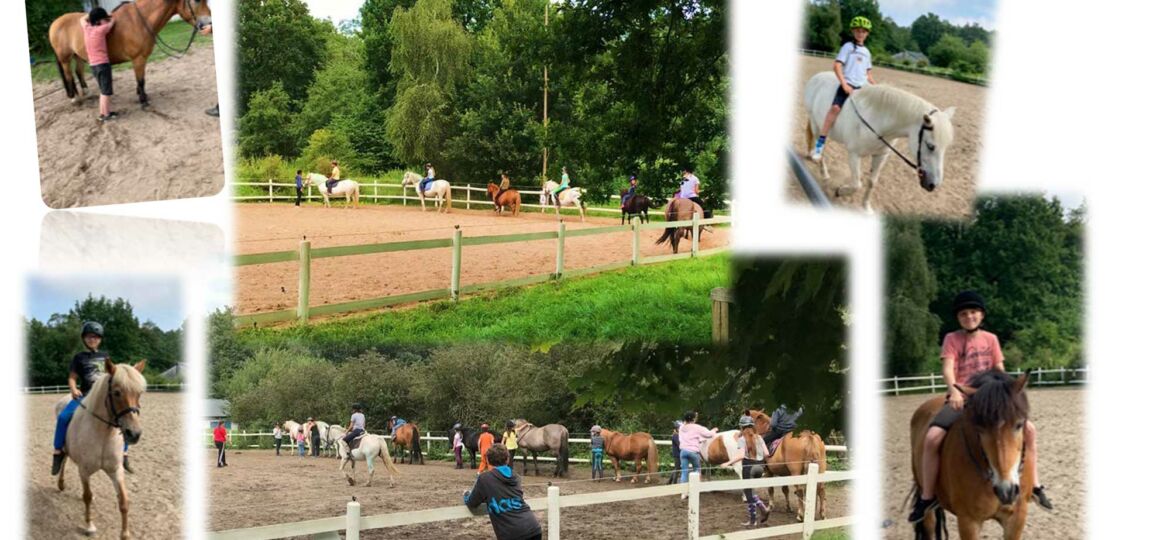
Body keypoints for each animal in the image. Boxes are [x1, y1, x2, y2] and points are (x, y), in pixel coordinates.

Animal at [49, 0, 215, 107]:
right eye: (196, 0)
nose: (209, 24)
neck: (140, 21)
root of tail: (55, 23)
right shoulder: (138, 59)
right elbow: (140, 80)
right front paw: (143, 101)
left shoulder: (142, 59)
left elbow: (142, 80)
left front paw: (142, 96)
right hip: (65, 59)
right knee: (69, 76)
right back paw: (75, 99)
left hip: (78, 56)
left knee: (79, 72)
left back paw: (87, 93)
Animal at [54, 357, 147, 540]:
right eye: (117, 392)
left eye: (139, 393)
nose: (134, 434)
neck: (103, 433)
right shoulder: (83, 471)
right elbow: (87, 497)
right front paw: (89, 526)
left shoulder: (116, 470)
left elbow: (123, 501)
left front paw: (125, 534)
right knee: (63, 461)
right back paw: (60, 483)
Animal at [804, 71, 959, 212]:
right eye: (930, 146)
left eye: (946, 148)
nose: (934, 185)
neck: (878, 120)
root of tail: (817, 76)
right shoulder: (854, 154)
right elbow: (857, 184)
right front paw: (840, 191)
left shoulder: (881, 156)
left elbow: (872, 182)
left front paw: (866, 207)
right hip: (816, 124)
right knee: (821, 148)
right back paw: (824, 173)